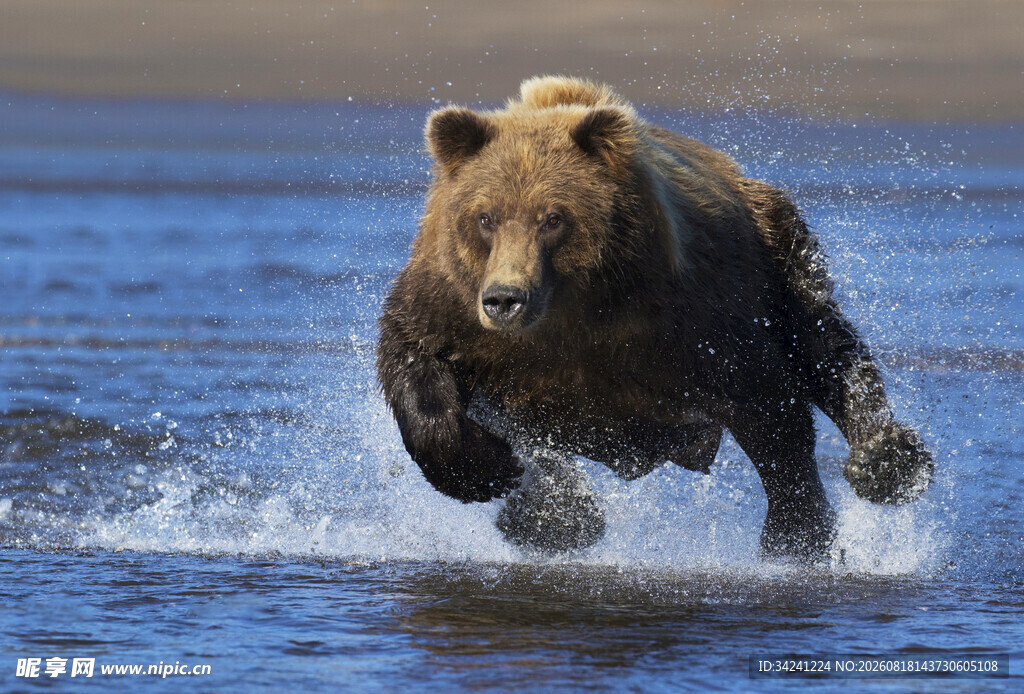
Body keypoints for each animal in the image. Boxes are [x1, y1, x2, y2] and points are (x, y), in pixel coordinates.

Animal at [376, 76, 933, 559]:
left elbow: (770, 405)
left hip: (774, 247)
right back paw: (550, 517)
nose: (504, 299)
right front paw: (485, 471)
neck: (574, 313)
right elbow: (415, 359)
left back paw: (885, 458)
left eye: (553, 217)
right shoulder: (454, 306)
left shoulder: (689, 317)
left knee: (824, 345)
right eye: (485, 217)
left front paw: (797, 537)